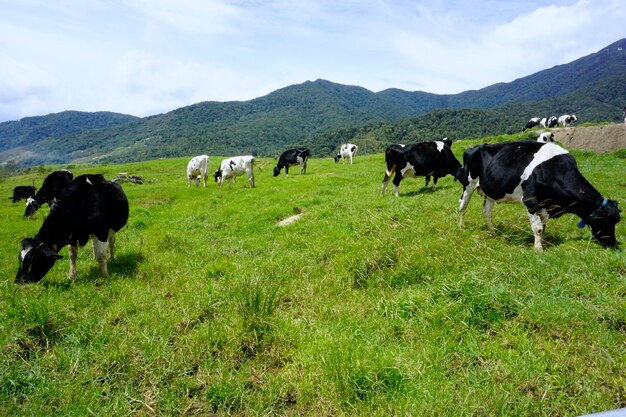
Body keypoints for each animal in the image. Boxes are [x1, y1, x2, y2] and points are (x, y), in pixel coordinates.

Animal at [454, 140, 620, 250]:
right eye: (605, 221)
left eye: (616, 221)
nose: (612, 243)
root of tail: (474, 147)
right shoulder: (531, 200)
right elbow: (538, 228)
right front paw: (538, 249)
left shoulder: (545, 205)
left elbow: (544, 226)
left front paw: (543, 243)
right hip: (469, 183)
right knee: (462, 206)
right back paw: (461, 227)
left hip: (490, 191)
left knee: (486, 212)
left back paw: (493, 233)